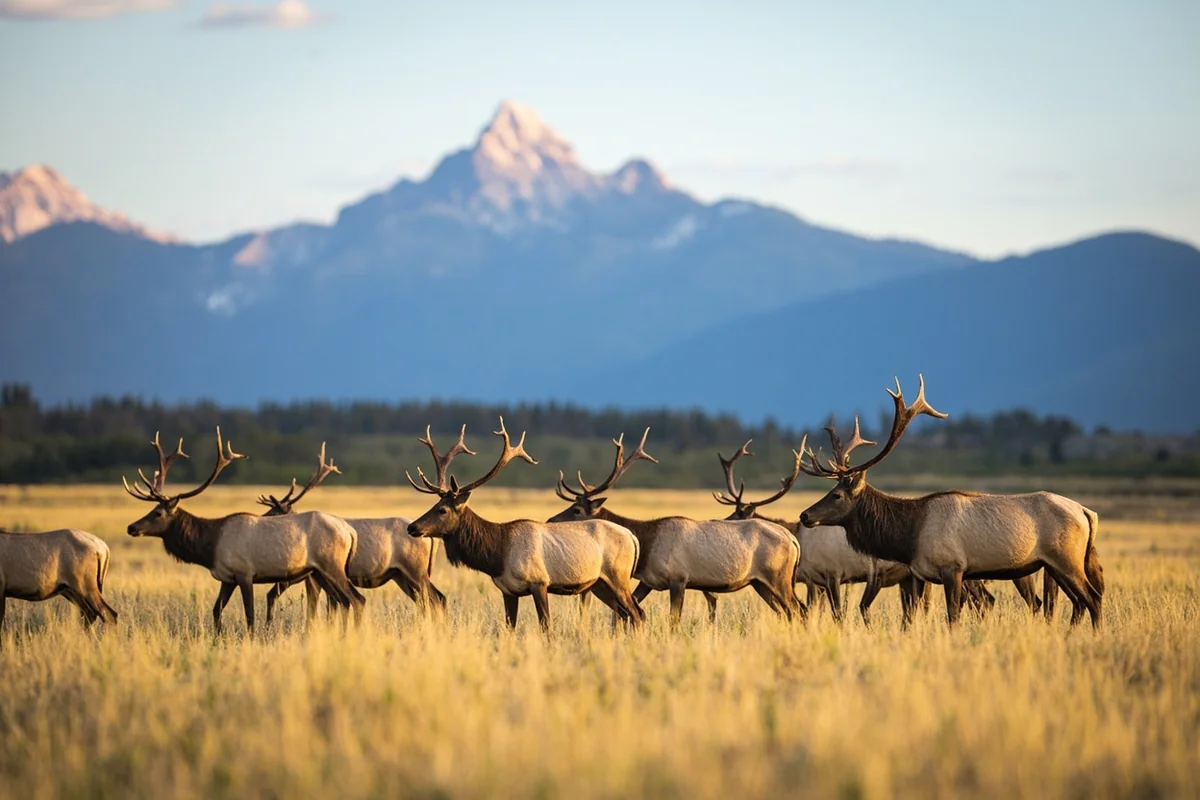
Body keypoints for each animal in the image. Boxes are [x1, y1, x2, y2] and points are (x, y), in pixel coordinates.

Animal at [123, 428, 366, 635]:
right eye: (151, 509)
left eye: (158, 513)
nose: (131, 527)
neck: (209, 547)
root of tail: (349, 531)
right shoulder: (227, 578)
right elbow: (216, 610)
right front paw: (217, 639)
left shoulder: (244, 573)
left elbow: (250, 616)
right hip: (318, 571)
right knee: (344, 601)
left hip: (331, 565)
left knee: (357, 599)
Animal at [258, 443, 447, 625]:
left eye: (272, 512)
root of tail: (432, 539)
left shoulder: (311, 576)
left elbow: (313, 606)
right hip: (400, 575)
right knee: (423, 602)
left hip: (415, 570)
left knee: (436, 598)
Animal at [405, 418, 644, 633]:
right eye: (435, 504)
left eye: (443, 510)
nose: (412, 527)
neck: (497, 555)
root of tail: (632, 537)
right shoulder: (508, 591)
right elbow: (509, 627)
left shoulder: (539, 582)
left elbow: (545, 626)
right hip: (599, 584)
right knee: (630, 613)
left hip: (618, 577)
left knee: (636, 613)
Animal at [549, 429, 804, 625]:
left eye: (577, 510)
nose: (550, 521)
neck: (646, 545)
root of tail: (793, 540)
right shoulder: (649, 580)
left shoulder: (678, 578)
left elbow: (673, 621)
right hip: (760, 582)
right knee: (792, 611)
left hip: (778, 577)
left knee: (798, 609)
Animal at [797, 375, 1104, 628]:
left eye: (837, 495)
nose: (804, 515)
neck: (909, 535)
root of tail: (1086, 512)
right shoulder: (921, 574)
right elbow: (914, 616)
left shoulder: (953, 567)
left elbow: (952, 616)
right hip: (1056, 564)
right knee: (1081, 600)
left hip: (1066, 559)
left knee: (1092, 597)